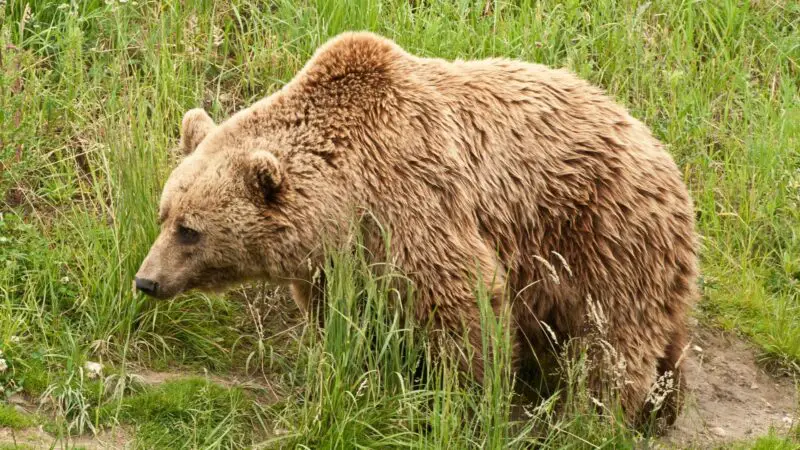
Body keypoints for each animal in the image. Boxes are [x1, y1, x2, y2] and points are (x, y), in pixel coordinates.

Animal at [134, 30, 696, 426]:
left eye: (190, 229)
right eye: (164, 215)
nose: (146, 280)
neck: (344, 198)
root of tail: (660, 151)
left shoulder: (413, 198)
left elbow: (462, 302)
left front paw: (463, 398)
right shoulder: (340, 260)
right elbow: (348, 316)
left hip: (602, 232)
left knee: (613, 341)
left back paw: (595, 416)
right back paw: (664, 408)